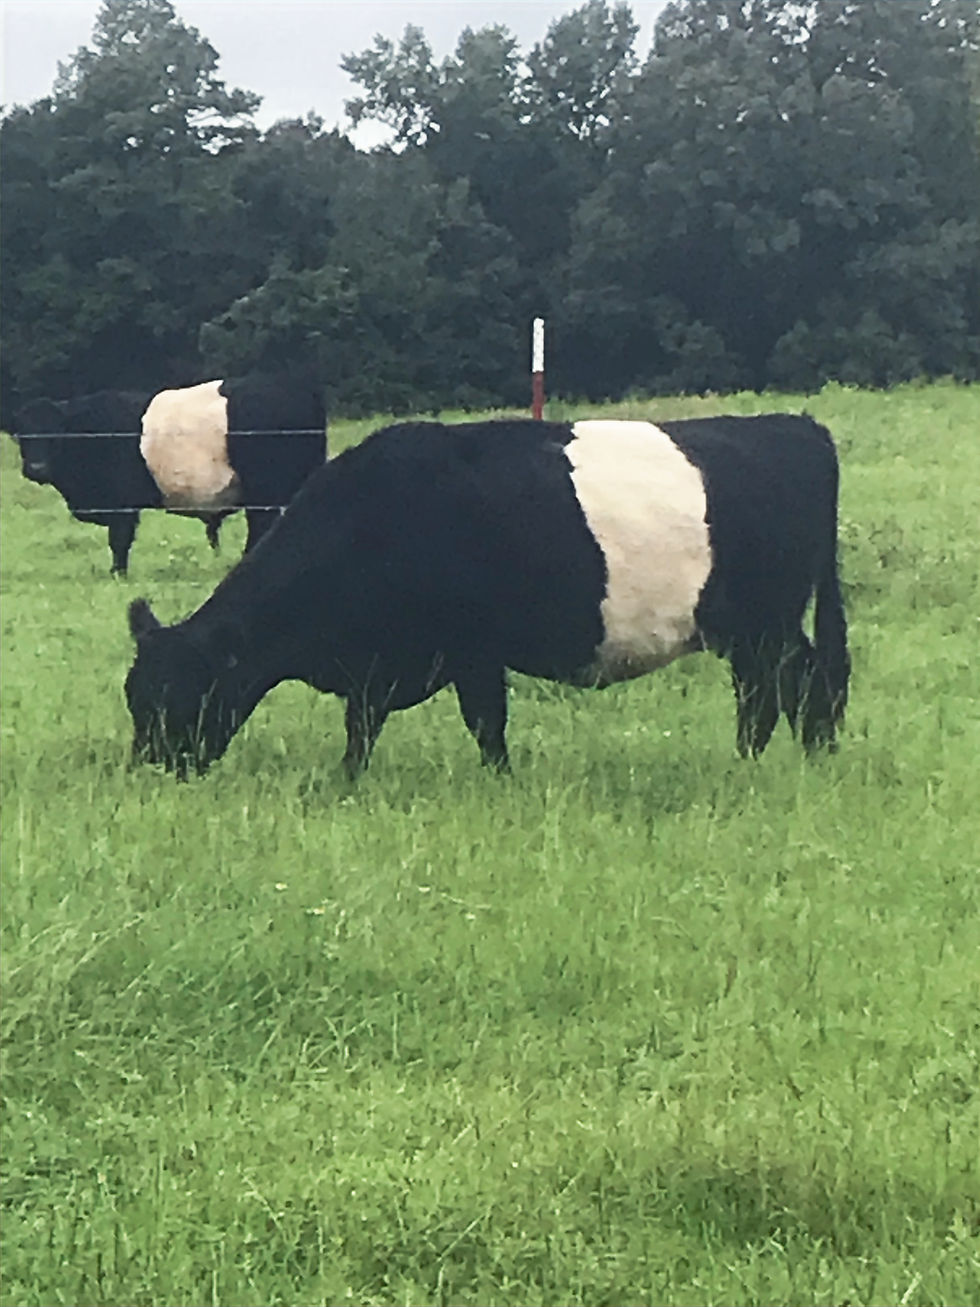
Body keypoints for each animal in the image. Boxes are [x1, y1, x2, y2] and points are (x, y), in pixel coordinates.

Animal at [13, 375, 326, 575]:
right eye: (21, 436)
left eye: (54, 435)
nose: (37, 468)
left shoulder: (121, 506)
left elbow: (119, 542)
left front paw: (117, 574)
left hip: (266, 490)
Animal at [124, 414, 850, 781]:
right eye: (136, 698)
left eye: (182, 694)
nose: (149, 770)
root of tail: (795, 424)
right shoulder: (378, 666)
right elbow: (362, 727)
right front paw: (349, 779)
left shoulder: (473, 650)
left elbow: (486, 724)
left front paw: (500, 781)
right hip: (751, 628)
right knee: (768, 689)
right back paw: (760, 758)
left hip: (766, 619)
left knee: (795, 679)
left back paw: (798, 757)